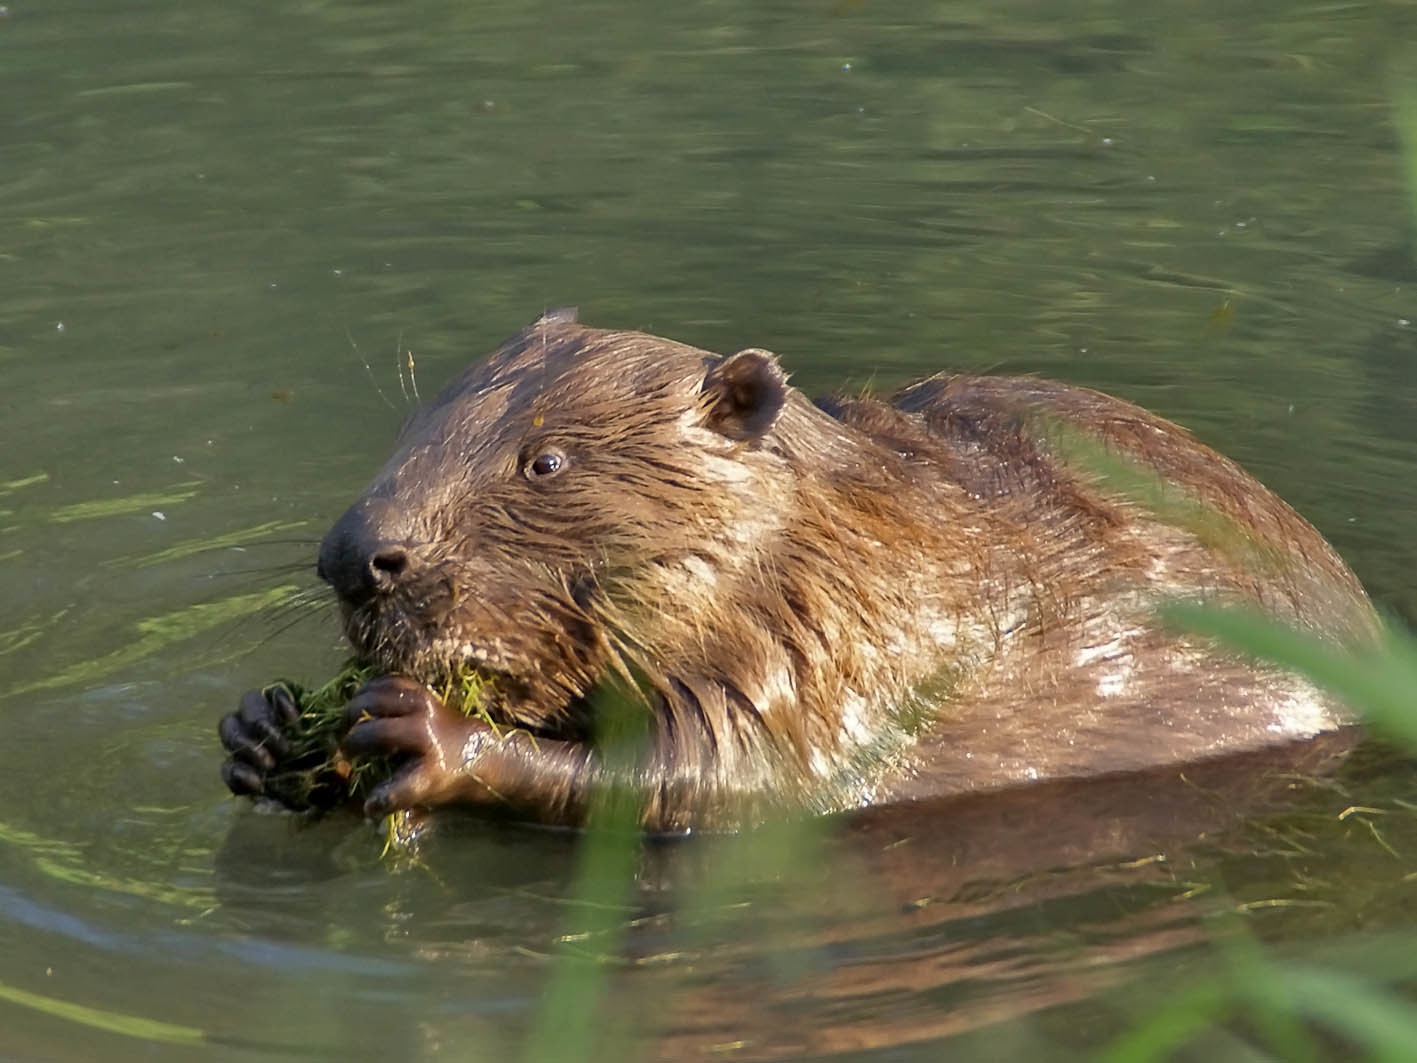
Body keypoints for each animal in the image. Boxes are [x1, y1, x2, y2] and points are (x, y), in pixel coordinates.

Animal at [218, 307, 1371, 833]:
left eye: (544, 461)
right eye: (415, 423)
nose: (354, 557)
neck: (834, 531)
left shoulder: (829, 647)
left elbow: (714, 779)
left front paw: (425, 730)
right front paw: (263, 728)